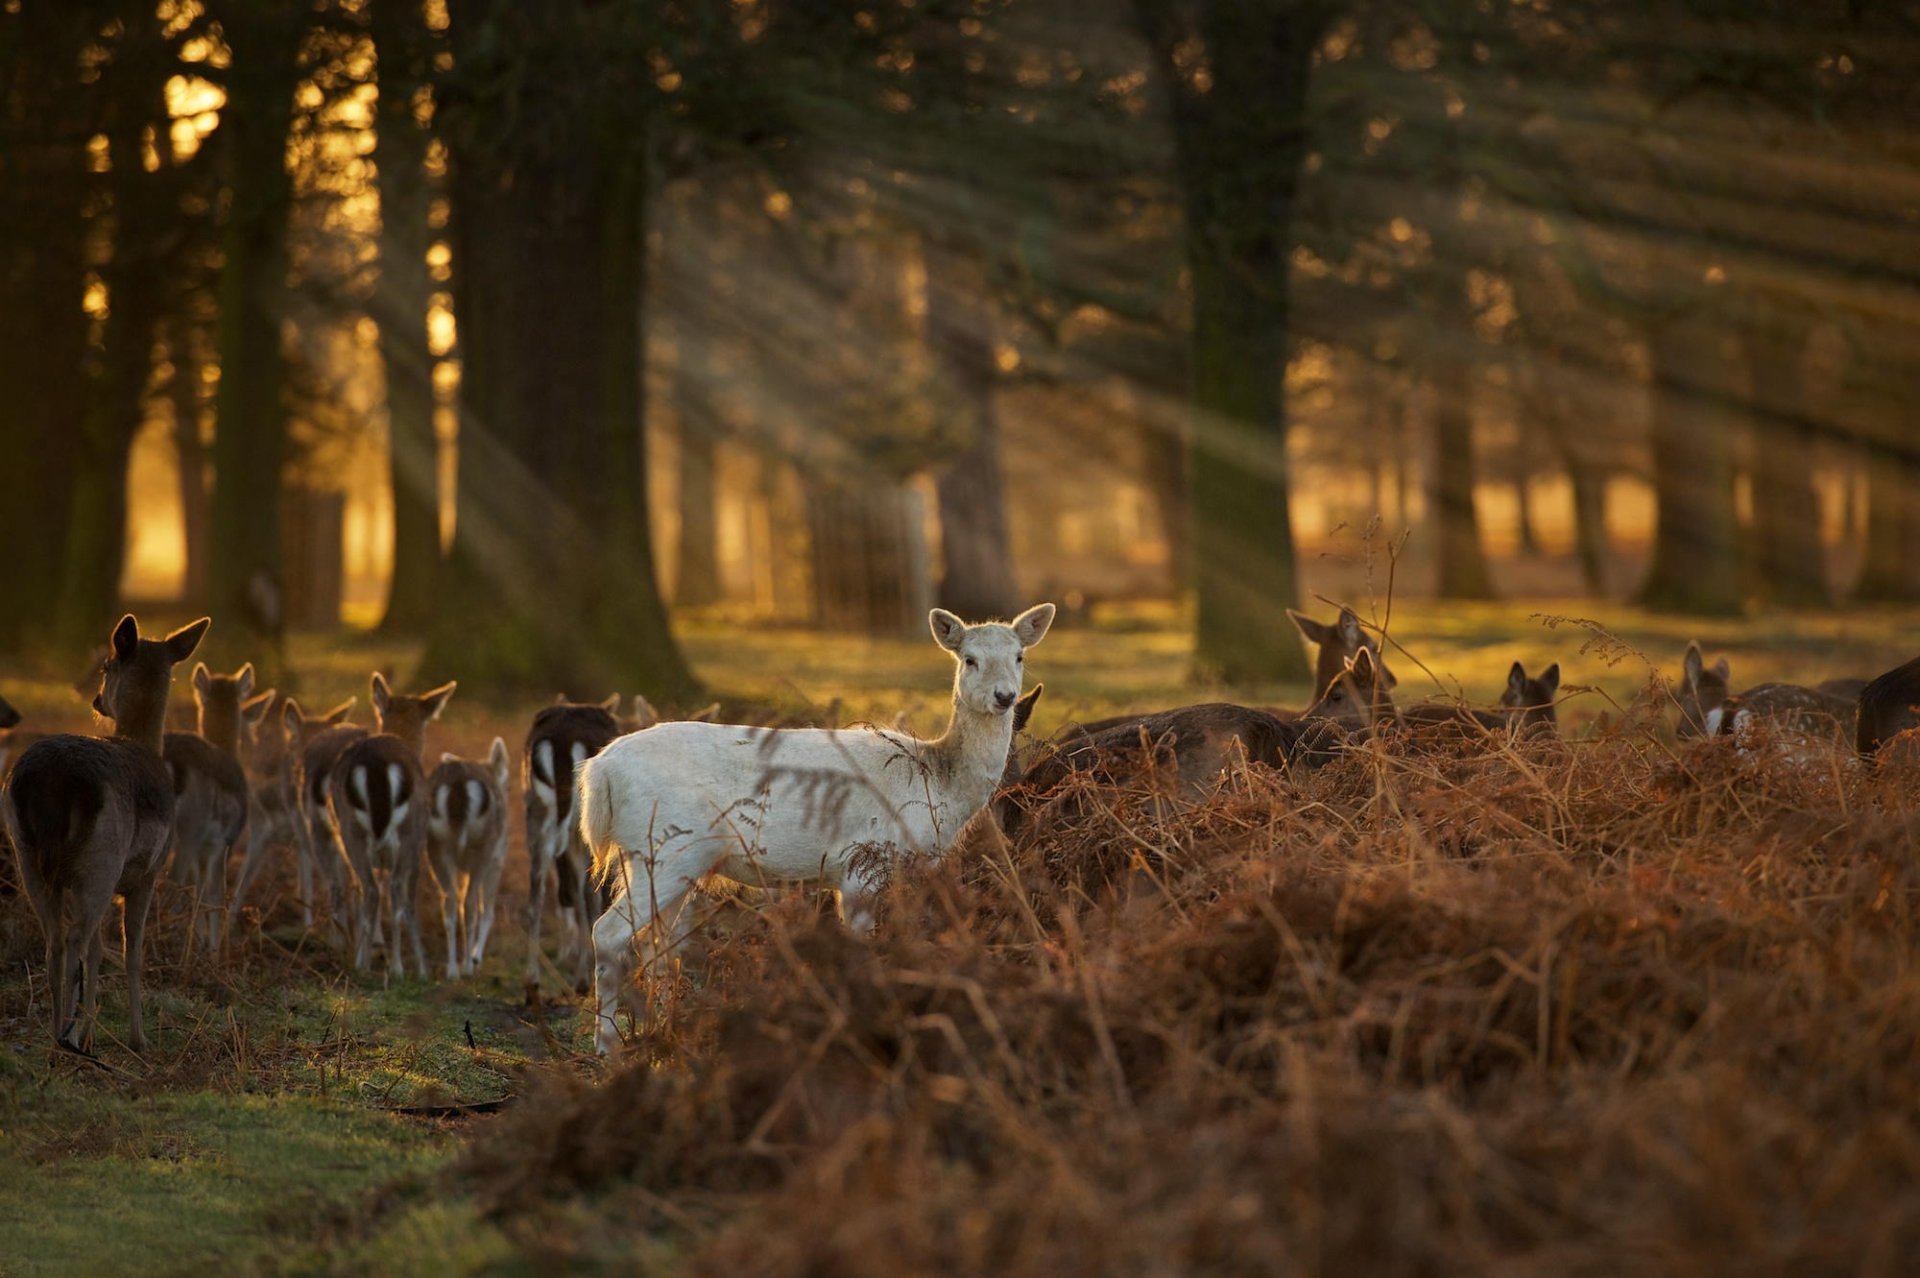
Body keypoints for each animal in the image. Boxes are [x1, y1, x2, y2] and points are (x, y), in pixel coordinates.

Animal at [1, 614, 209, 1053]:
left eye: (104, 667)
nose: (97, 701)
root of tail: (52, 783)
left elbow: (99, 951)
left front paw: (95, 1031)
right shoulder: (148, 872)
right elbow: (132, 951)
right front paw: (138, 1038)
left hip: (28, 856)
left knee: (56, 942)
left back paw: (59, 1034)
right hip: (101, 858)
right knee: (75, 939)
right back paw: (68, 1035)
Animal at [164, 663, 269, 956]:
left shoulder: (207, 847)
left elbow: (199, 890)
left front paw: (200, 942)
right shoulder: (226, 841)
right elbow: (214, 893)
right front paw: (214, 951)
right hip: (189, 828)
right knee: (172, 883)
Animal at [326, 674, 457, 978]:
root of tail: (376, 764)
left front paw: (372, 950)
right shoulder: (419, 844)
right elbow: (408, 899)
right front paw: (420, 967)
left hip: (351, 830)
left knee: (369, 888)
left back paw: (361, 963)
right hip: (409, 831)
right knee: (394, 889)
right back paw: (397, 967)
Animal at [425, 737, 510, 979]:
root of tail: (458, 787)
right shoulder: (497, 858)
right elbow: (488, 910)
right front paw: (475, 958)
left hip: (435, 844)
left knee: (449, 900)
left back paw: (452, 969)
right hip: (484, 847)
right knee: (471, 903)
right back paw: (466, 967)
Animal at [582, 603, 1054, 1055]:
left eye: (1019, 656)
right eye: (969, 659)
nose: (1005, 696)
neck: (937, 783)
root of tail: (599, 771)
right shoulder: (863, 860)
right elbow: (861, 945)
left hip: (668, 861)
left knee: (655, 941)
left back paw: (661, 1029)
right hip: (664, 850)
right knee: (608, 932)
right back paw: (608, 1045)